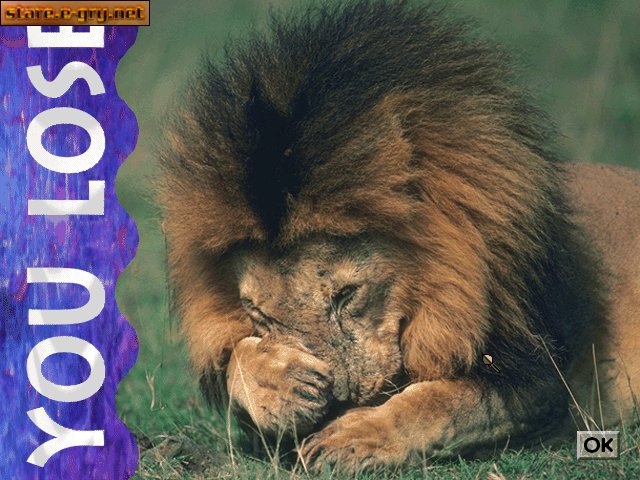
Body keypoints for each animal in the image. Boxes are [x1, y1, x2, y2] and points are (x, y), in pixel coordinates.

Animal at [157, 0, 640, 473]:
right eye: (258, 312)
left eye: (347, 295)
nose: (336, 402)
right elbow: (236, 358)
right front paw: (281, 387)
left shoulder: (542, 377)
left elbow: (443, 403)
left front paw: (352, 437)